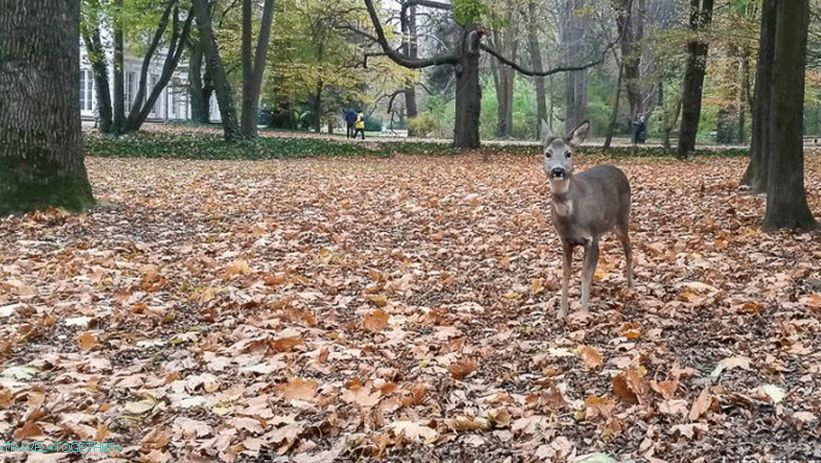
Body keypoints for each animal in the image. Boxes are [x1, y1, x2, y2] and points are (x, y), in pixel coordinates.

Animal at [540, 120, 636, 320]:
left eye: (569, 153)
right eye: (548, 153)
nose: (558, 170)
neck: (572, 216)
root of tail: (619, 170)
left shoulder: (590, 237)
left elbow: (585, 274)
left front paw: (583, 312)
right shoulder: (566, 240)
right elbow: (566, 273)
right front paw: (562, 312)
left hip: (622, 220)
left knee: (629, 249)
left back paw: (630, 287)